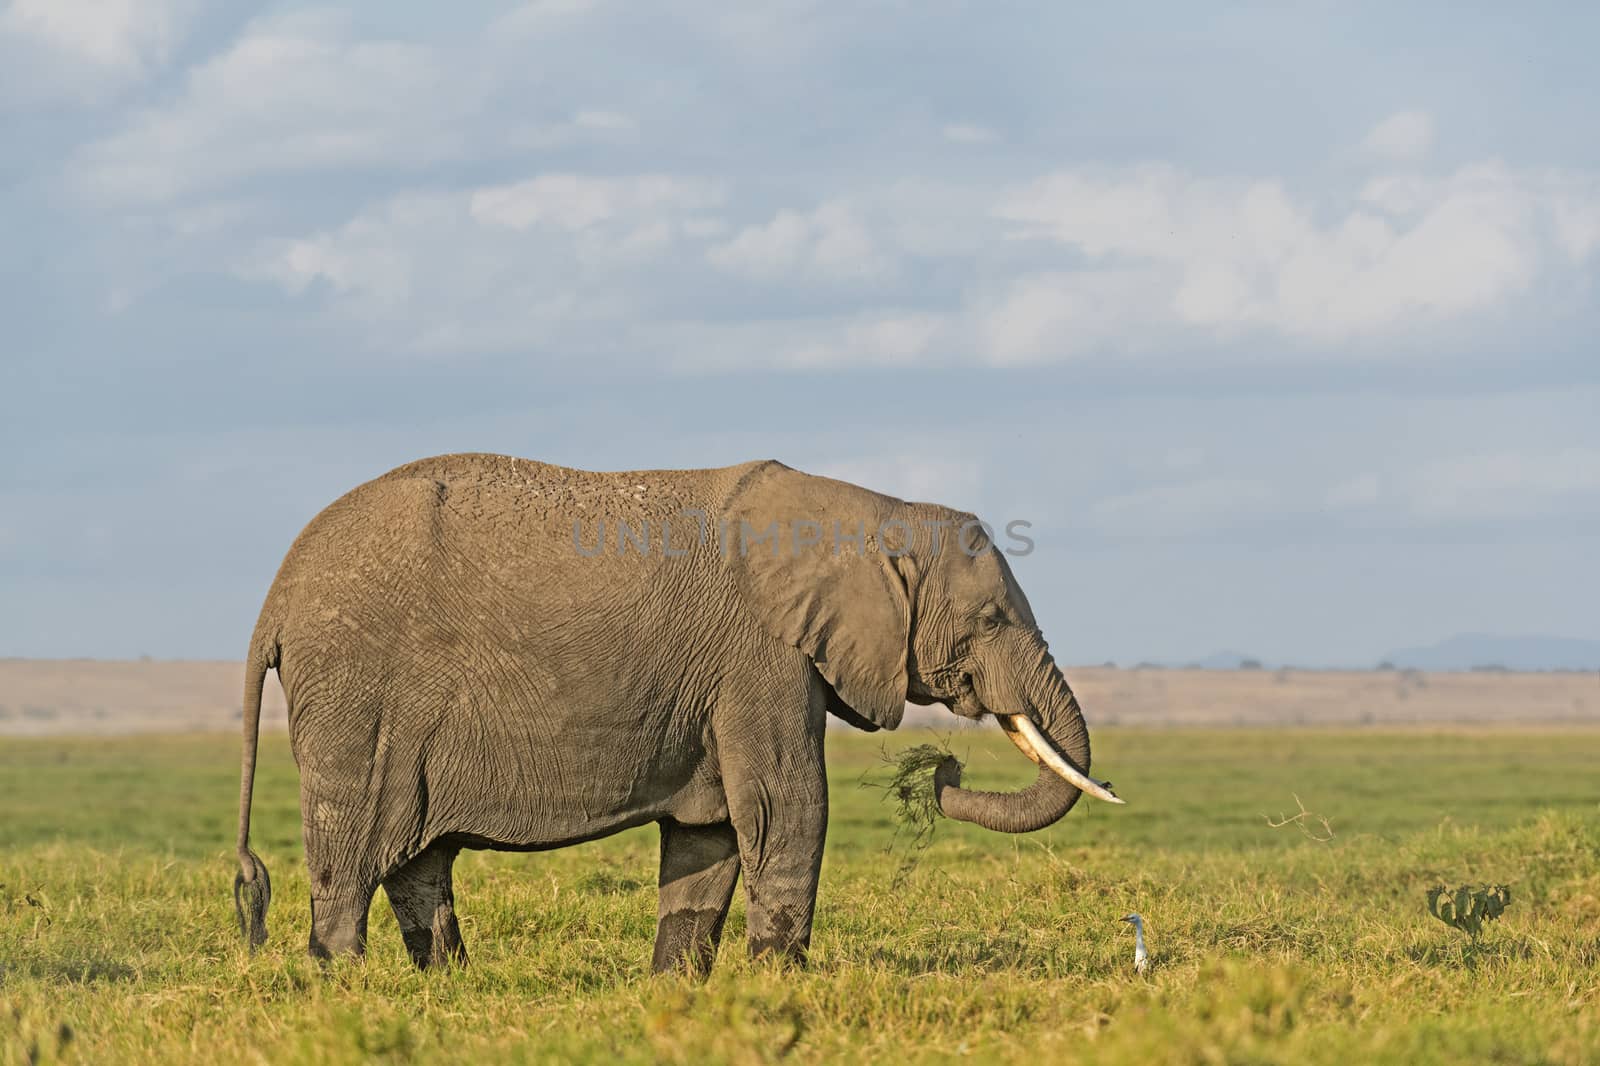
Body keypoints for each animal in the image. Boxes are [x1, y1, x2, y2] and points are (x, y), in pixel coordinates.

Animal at [232, 451, 1120, 966]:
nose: (944, 771)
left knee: (419, 859)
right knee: (355, 849)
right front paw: (778, 984)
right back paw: (341, 982)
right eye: (993, 621)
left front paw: (680, 991)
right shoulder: (762, 656)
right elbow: (790, 805)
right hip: (358, 693)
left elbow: (712, 831)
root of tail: (276, 595)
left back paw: (447, 987)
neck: (874, 512)